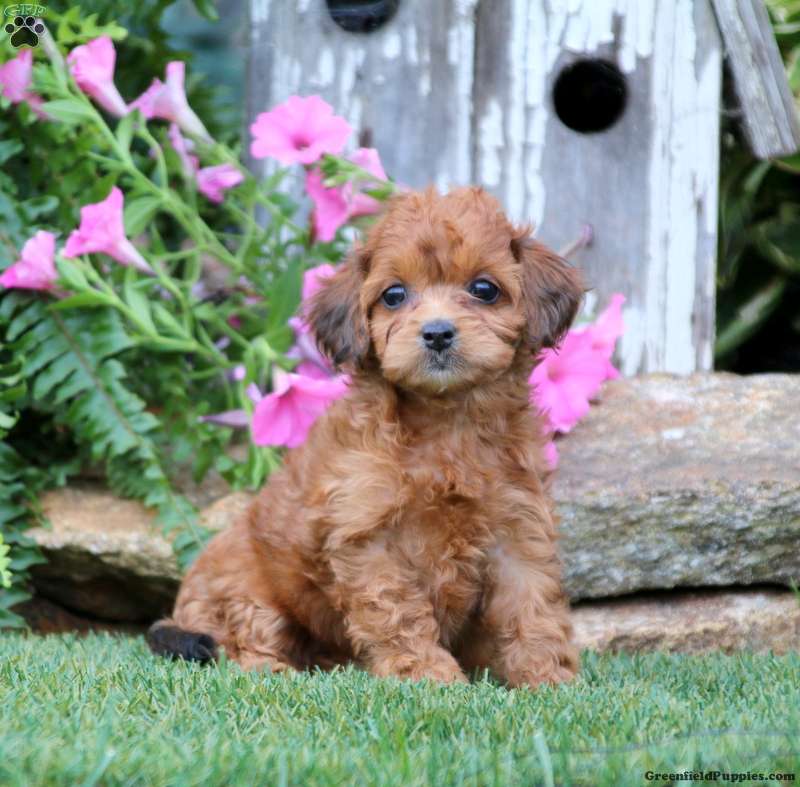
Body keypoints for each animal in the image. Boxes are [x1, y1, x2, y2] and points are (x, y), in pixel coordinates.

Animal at [148, 188, 580, 688]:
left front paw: (547, 678)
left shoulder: (519, 529)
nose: (437, 333)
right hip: (245, 593)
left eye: (484, 289)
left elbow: (533, 608)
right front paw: (426, 672)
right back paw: (277, 671)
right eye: (394, 295)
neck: (446, 425)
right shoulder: (368, 535)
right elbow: (396, 609)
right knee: (239, 646)